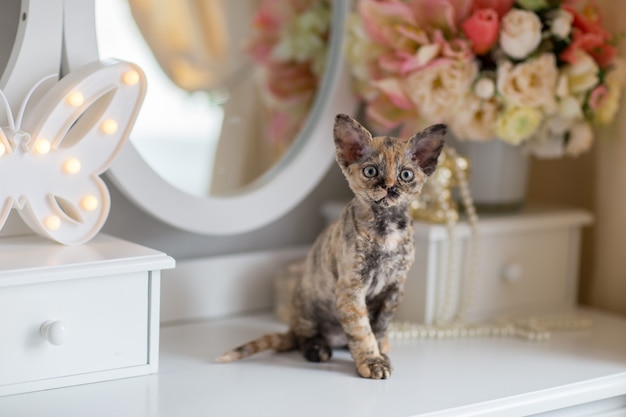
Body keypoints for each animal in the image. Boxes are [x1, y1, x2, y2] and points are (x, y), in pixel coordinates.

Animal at [218, 114, 444, 376]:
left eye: (405, 175)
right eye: (370, 171)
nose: (389, 186)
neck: (385, 230)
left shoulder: (393, 289)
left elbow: (378, 328)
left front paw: (380, 352)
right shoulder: (351, 289)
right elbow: (362, 331)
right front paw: (372, 362)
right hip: (308, 309)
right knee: (304, 337)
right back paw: (318, 348)